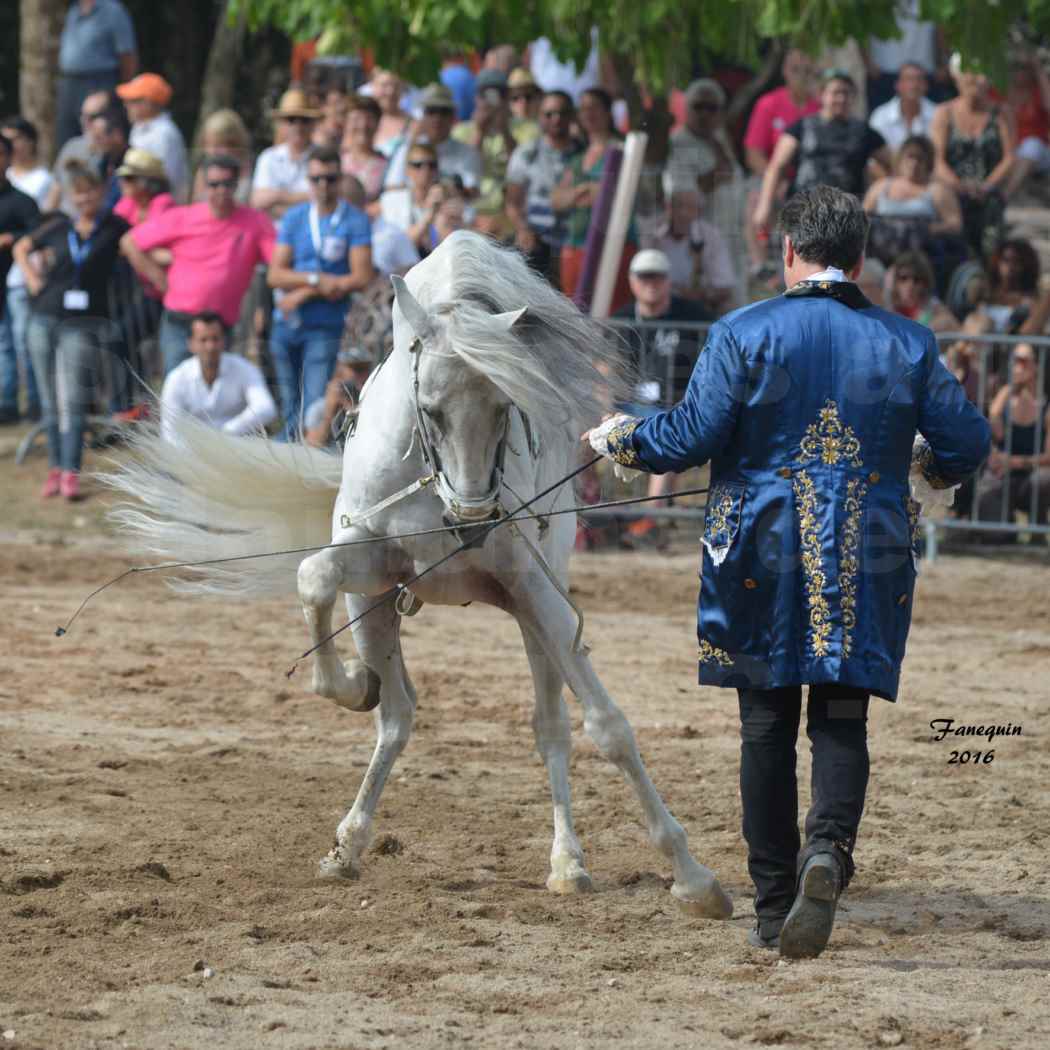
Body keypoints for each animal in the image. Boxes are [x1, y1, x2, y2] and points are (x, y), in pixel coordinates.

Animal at [106, 232, 730, 919]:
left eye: (506, 408)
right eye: (429, 409)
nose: (473, 522)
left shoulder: (532, 588)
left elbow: (609, 728)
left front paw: (693, 876)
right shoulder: (370, 564)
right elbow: (315, 578)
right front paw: (354, 684)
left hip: (538, 611)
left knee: (552, 728)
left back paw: (567, 861)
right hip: (375, 606)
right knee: (398, 718)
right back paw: (349, 842)